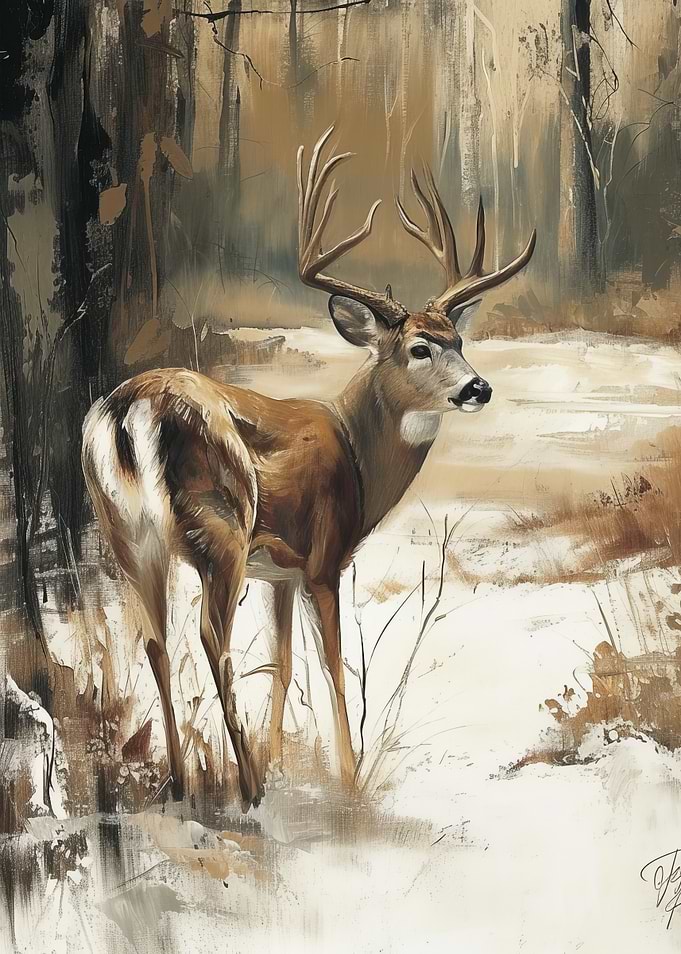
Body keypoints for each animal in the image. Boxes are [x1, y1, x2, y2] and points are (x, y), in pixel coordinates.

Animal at [81, 126, 536, 811]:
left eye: (458, 340)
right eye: (418, 348)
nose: (478, 388)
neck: (357, 454)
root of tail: (127, 407)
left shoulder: (280, 572)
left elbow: (284, 661)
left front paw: (279, 761)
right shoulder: (323, 558)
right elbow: (331, 668)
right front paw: (346, 780)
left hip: (128, 536)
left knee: (155, 639)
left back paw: (182, 785)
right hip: (219, 525)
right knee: (210, 638)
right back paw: (245, 787)